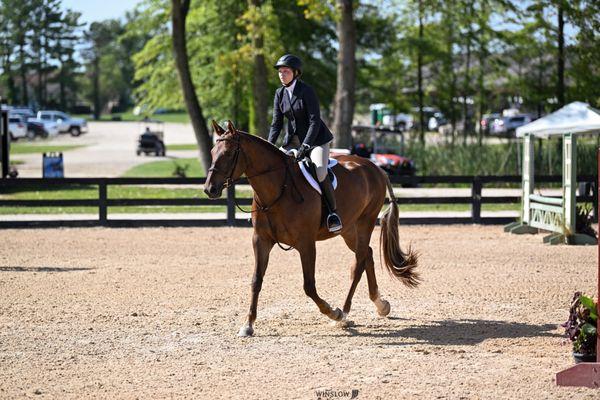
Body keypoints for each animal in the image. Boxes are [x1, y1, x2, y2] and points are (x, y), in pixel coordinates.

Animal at [204, 120, 420, 336]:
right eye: (213, 151)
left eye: (229, 153)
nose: (209, 189)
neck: (277, 190)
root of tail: (376, 168)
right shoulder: (261, 240)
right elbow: (256, 280)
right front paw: (248, 325)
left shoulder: (306, 243)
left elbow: (309, 285)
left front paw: (333, 313)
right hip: (349, 230)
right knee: (367, 254)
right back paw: (381, 305)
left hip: (364, 223)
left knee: (358, 263)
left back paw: (344, 313)